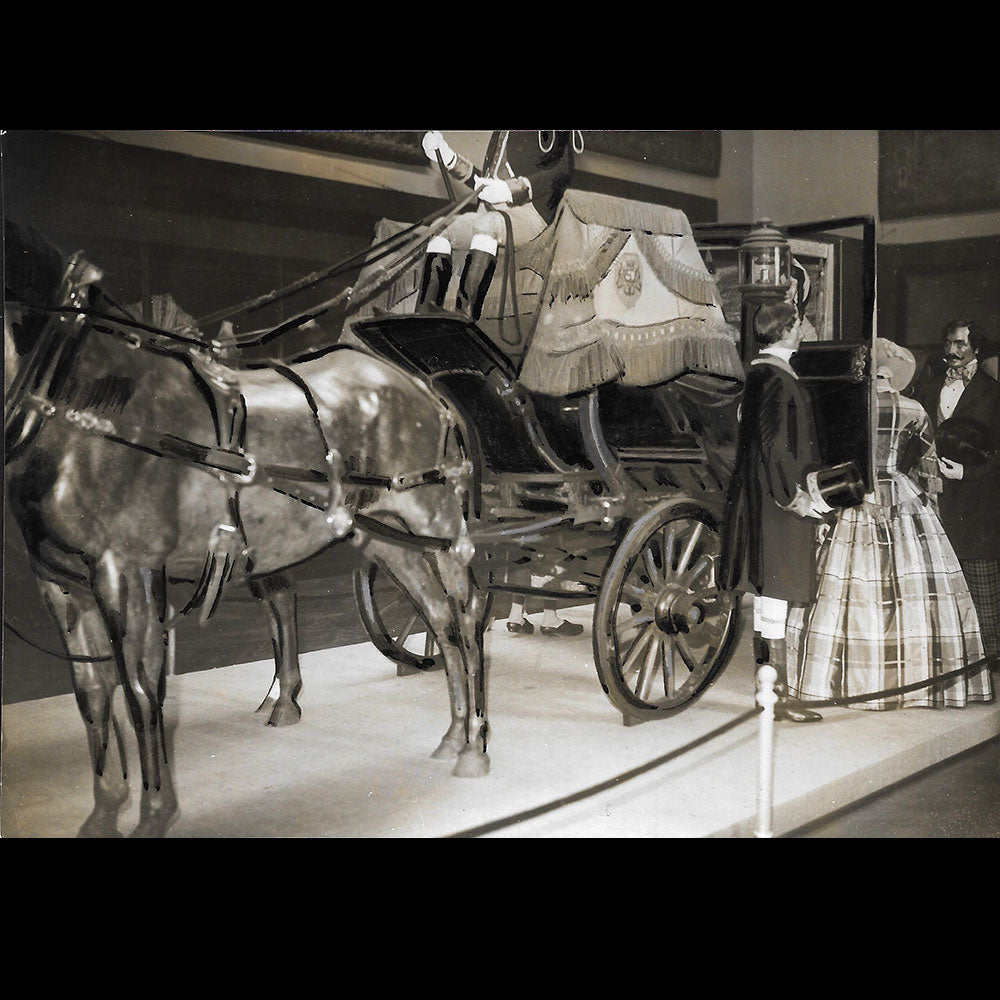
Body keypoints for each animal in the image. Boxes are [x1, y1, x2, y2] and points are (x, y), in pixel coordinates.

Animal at [3, 223, 492, 840]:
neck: (87, 401)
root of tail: (426, 388)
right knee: (439, 619)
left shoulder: (125, 571)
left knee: (468, 613)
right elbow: (91, 695)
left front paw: (154, 813)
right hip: (386, 536)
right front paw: (103, 812)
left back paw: (475, 746)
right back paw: (452, 734)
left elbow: (139, 691)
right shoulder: (61, 582)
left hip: (436, 520)